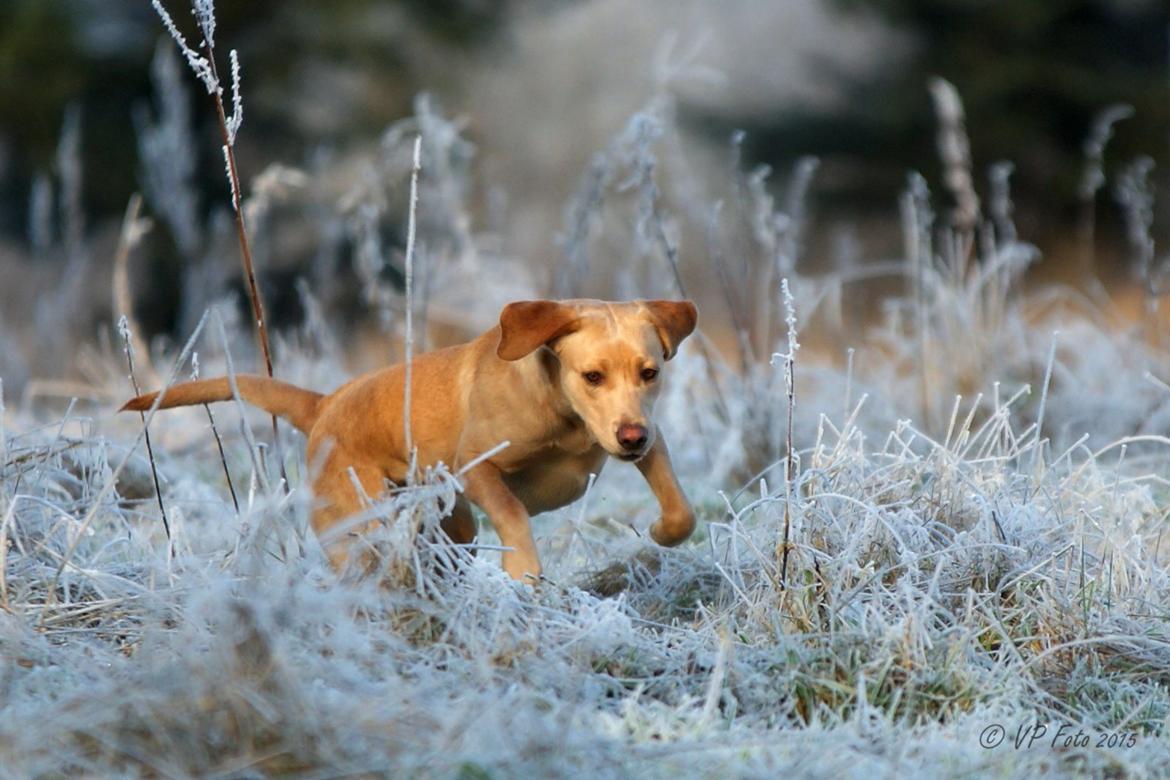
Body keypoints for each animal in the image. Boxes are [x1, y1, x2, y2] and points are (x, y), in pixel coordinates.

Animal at [121, 299, 692, 580]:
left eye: (650, 372)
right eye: (592, 376)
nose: (630, 436)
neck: (566, 416)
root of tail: (325, 404)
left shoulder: (651, 437)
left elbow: (680, 507)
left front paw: (660, 533)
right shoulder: (476, 467)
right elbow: (512, 511)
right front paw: (523, 570)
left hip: (449, 522)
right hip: (362, 524)